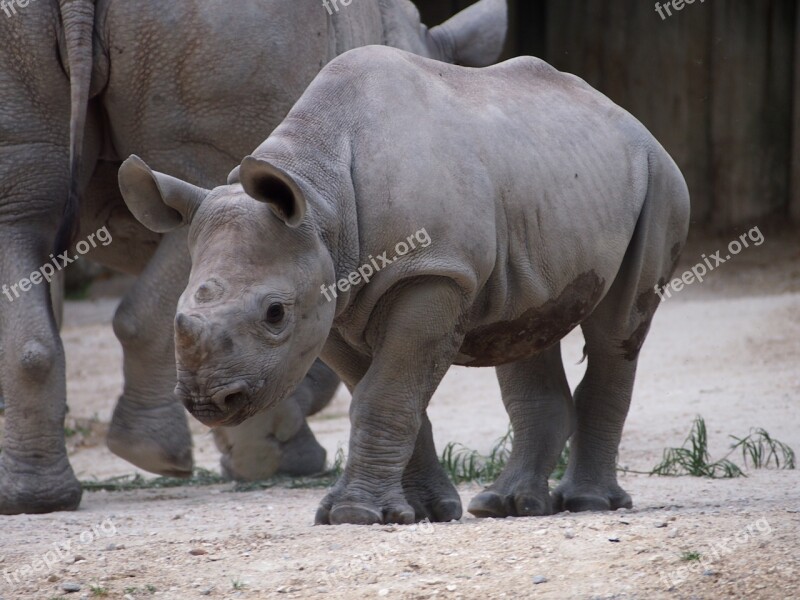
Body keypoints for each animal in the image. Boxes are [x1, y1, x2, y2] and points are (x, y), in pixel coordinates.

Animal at [0, 0, 506, 516]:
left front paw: (257, 454)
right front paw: (272, 457)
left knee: (22, 212)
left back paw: (40, 499)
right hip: (224, 41)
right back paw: (156, 459)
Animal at [117, 45, 688, 524]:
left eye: (275, 313)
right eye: (182, 309)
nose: (207, 401)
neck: (320, 198)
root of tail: (630, 118)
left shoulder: (434, 270)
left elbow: (383, 395)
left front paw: (355, 515)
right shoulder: (333, 296)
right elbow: (384, 394)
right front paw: (422, 511)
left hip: (659, 179)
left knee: (616, 332)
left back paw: (588, 504)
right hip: (547, 189)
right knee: (525, 327)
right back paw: (506, 506)